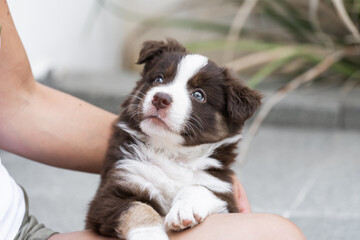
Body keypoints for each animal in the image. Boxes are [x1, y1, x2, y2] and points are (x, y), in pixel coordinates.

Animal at [86, 39, 262, 240]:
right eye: (159, 79)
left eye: (199, 95)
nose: (160, 98)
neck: (172, 154)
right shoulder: (116, 187)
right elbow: (137, 208)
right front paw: (150, 235)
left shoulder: (224, 193)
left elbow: (199, 188)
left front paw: (184, 211)